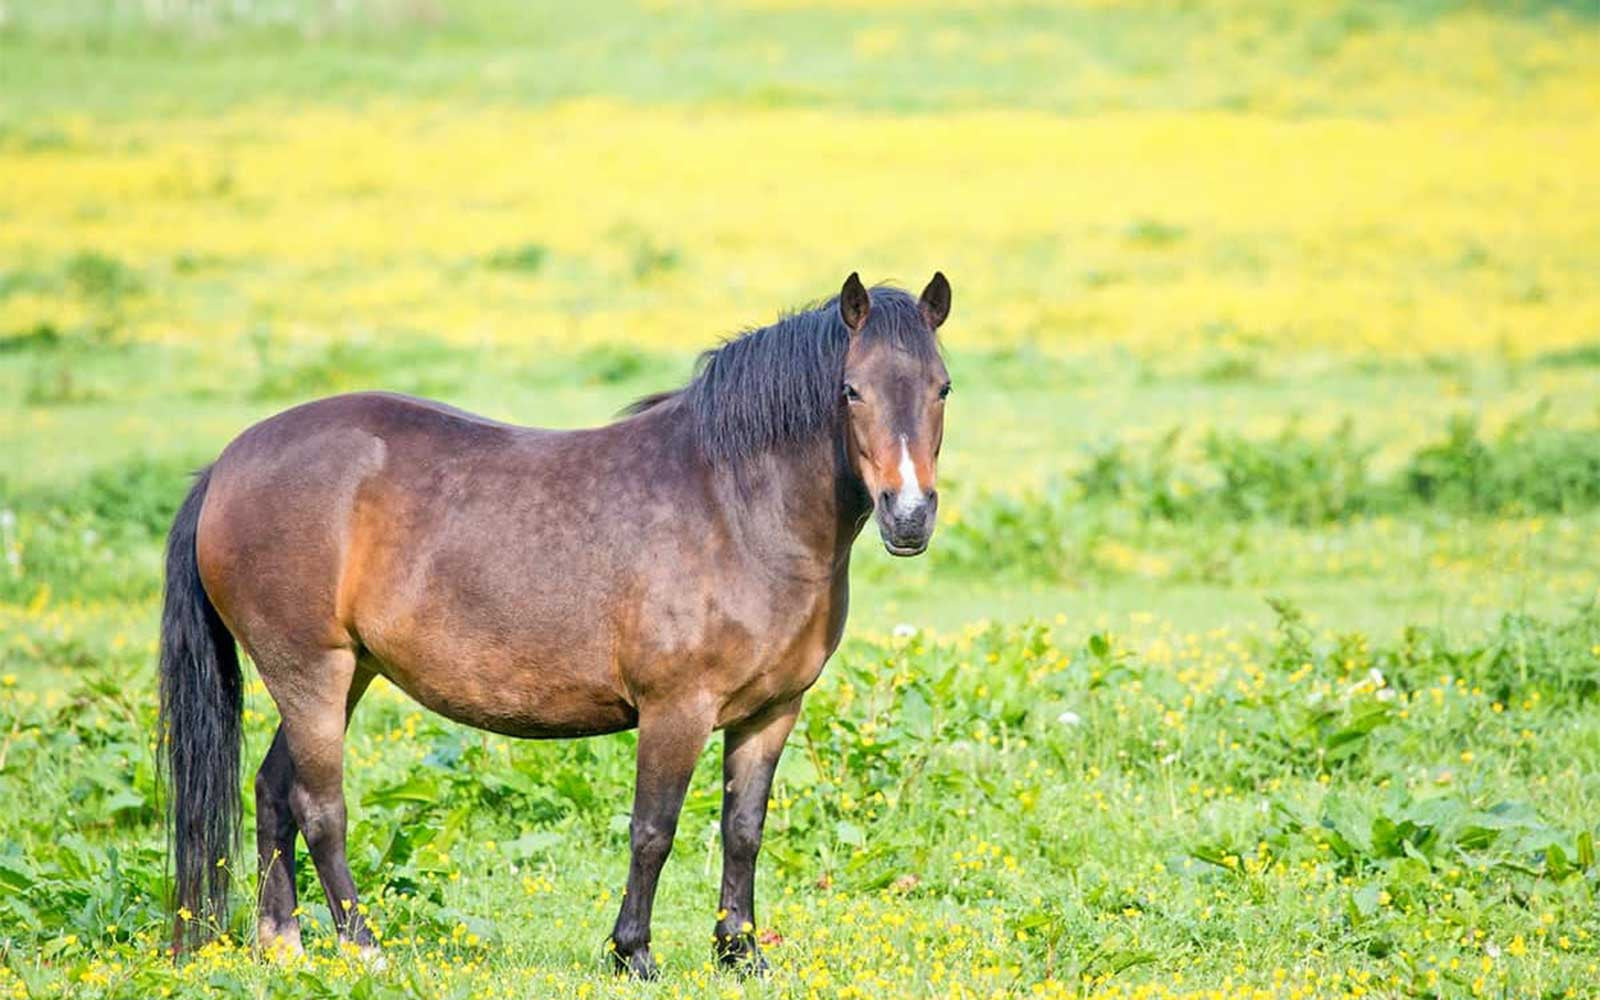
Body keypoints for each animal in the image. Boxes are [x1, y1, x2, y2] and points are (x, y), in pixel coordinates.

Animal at [162, 273, 953, 972]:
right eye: (851, 390)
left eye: (942, 387)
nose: (910, 516)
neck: (735, 508)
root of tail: (227, 464)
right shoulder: (676, 710)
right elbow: (653, 831)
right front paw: (634, 954)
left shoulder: (771, 712)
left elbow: (743, 832)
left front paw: (741, 954)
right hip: (310, 672)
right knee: (319, 807)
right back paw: (363, 949)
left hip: (349, 672)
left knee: (272, 790)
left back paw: (283, 947)